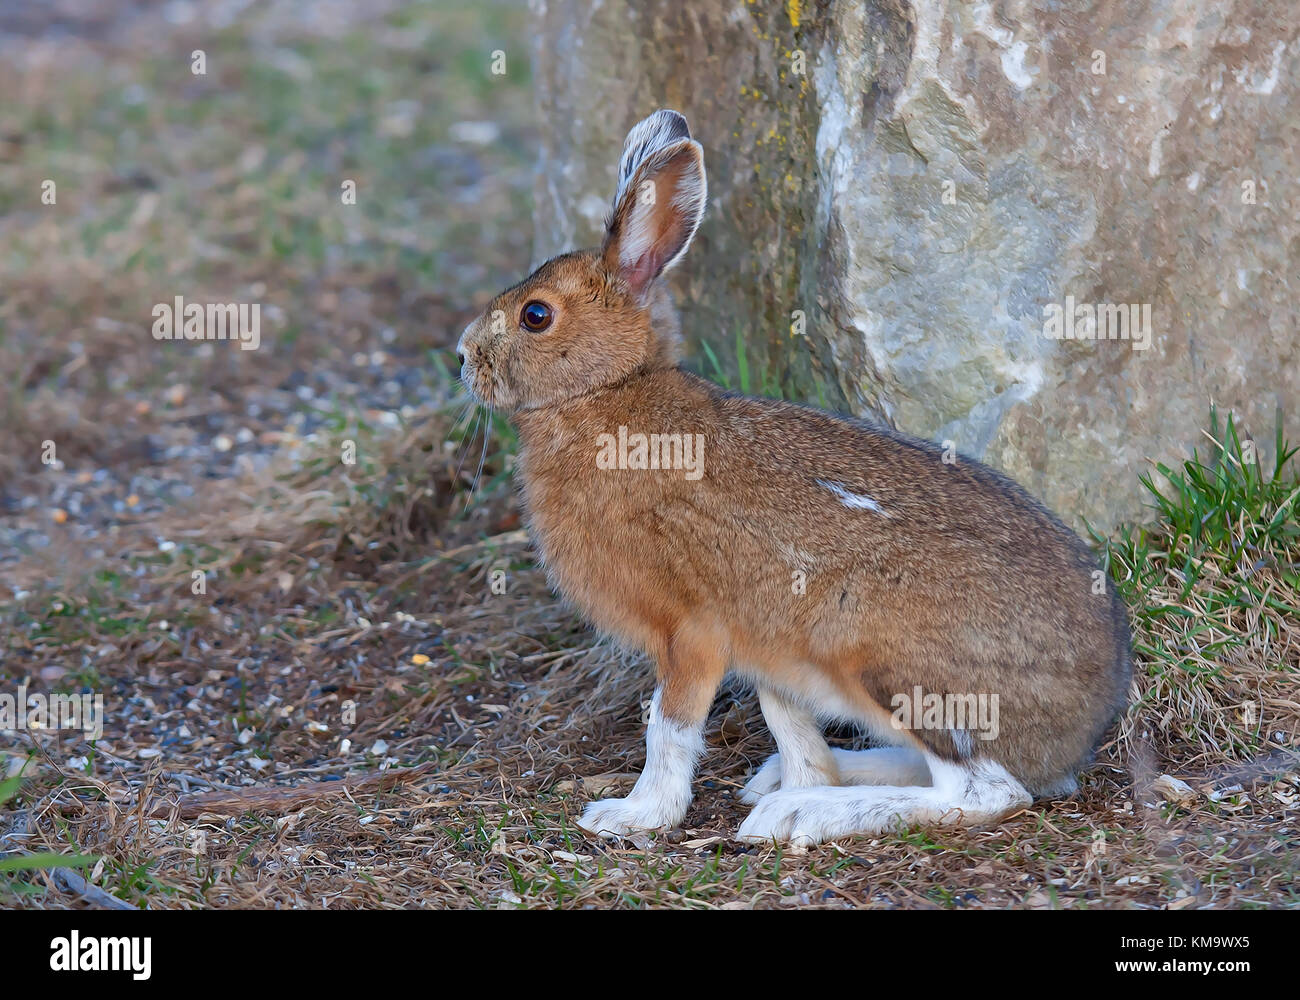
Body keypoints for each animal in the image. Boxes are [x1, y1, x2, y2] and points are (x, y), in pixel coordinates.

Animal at [456, 109, 1131, 846]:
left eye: (536, 315)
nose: (462, 356)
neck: (606, 392)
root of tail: (1082, 727)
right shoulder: (767, 650)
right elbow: (789, 722)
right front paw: (804, 774)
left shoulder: (691, 633)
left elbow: (669, 727)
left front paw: (634, 815)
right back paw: (797, 784)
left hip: (884, 660)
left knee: (987, 789)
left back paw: (802, 812)